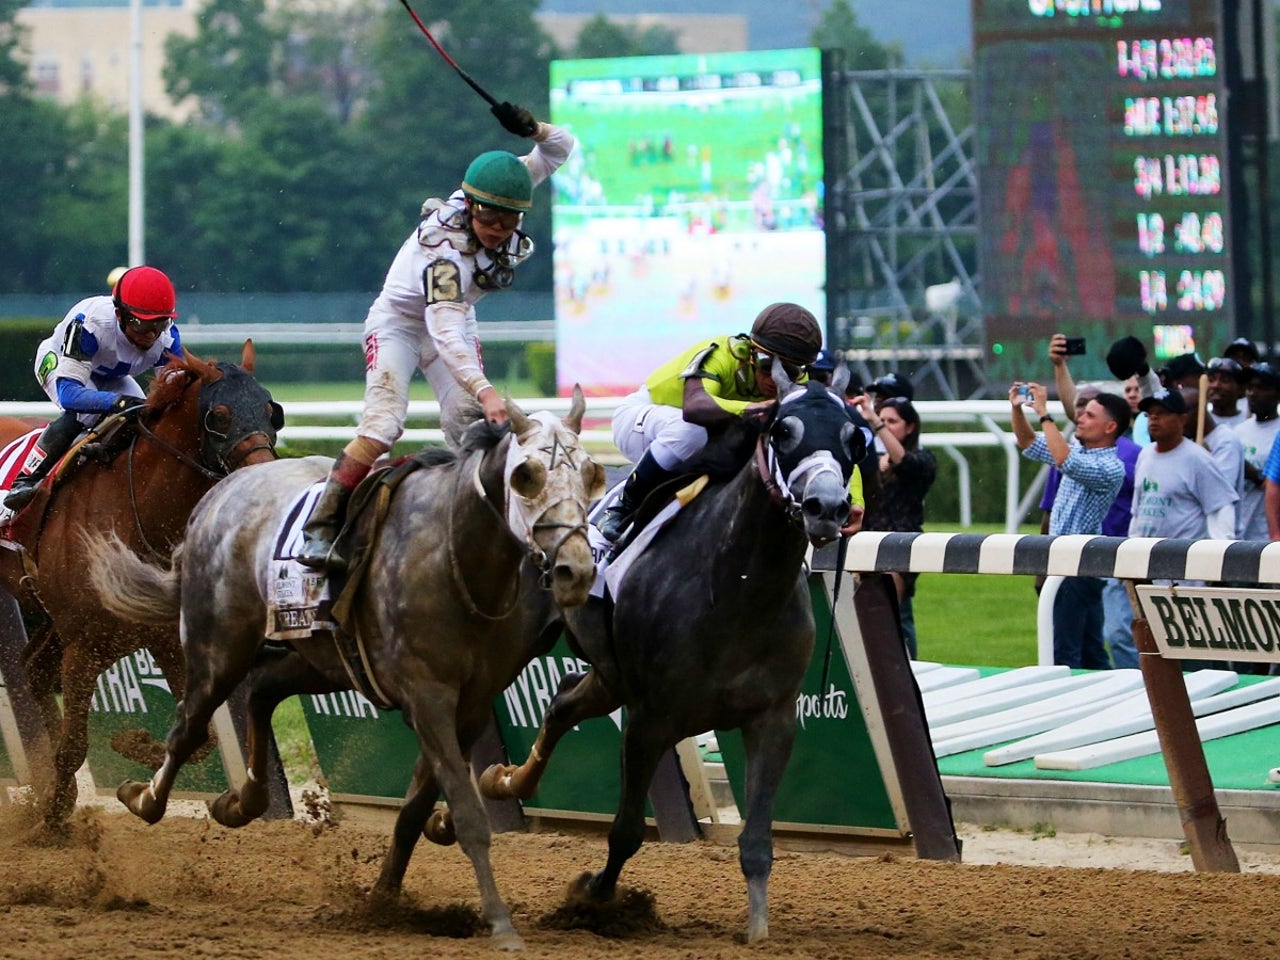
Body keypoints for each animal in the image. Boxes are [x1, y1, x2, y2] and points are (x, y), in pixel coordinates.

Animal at [0, 345, 282, 834]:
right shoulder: (84, 647)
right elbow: (73, 747)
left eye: (271, 410)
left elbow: (199, 740)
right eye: (219, 415)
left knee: (33, 670)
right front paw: (51, 823)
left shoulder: (165, 640)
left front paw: (129, 747)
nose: (264, 480)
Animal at [86, 391, 604, 957]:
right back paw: (144, 798)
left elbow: (416, 808)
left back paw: (241, 801)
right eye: (525, 476)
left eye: (592, 473)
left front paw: (383, 898)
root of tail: (216, 495)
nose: (576, 569)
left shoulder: (468, 704)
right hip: (217, 646)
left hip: (325, 661)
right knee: (188, 726)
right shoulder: (428, 698)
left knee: (262, 692)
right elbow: (467, 815)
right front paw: (500, 922)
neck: (455, 554)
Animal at [483, 371, 865, 947]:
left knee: (562, 703)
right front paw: (594, 900)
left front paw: (757, 928)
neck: (736, 587)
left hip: (610, 677)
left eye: (853, 436)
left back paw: (510, 780)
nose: (827, 507)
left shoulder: (771, 718)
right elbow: (625, 832)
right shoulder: (650, 718)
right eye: (783, 430)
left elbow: (757, 840)